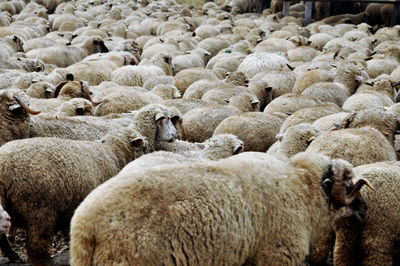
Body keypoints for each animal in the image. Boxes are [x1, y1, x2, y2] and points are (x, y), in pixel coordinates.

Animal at [0, 124, 148, 266]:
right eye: (144, 148)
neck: (114, 154)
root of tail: (4, 166)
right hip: (38, 211)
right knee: (36, 247)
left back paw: (13, 255)